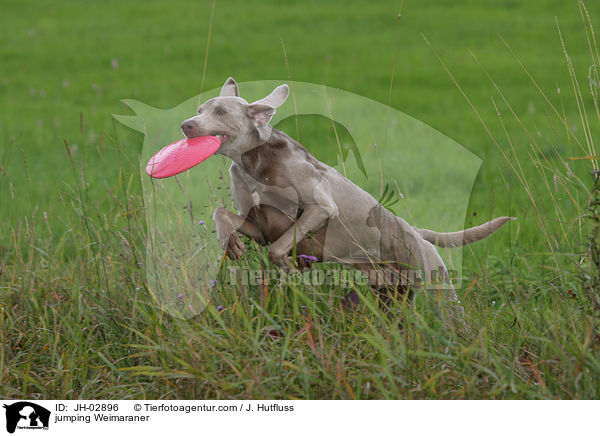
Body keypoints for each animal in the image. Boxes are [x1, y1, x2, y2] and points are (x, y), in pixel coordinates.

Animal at [179, 77, 510, 328]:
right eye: (200, 109)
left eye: (220, 111)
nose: (186, 125)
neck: (252, 163)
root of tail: (416, 232)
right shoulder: (261, 224)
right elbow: (222, 213)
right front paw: (231, 242)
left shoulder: (320, 208)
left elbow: (279, 247)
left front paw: (289, 267)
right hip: (390, 295)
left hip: (437, 287)